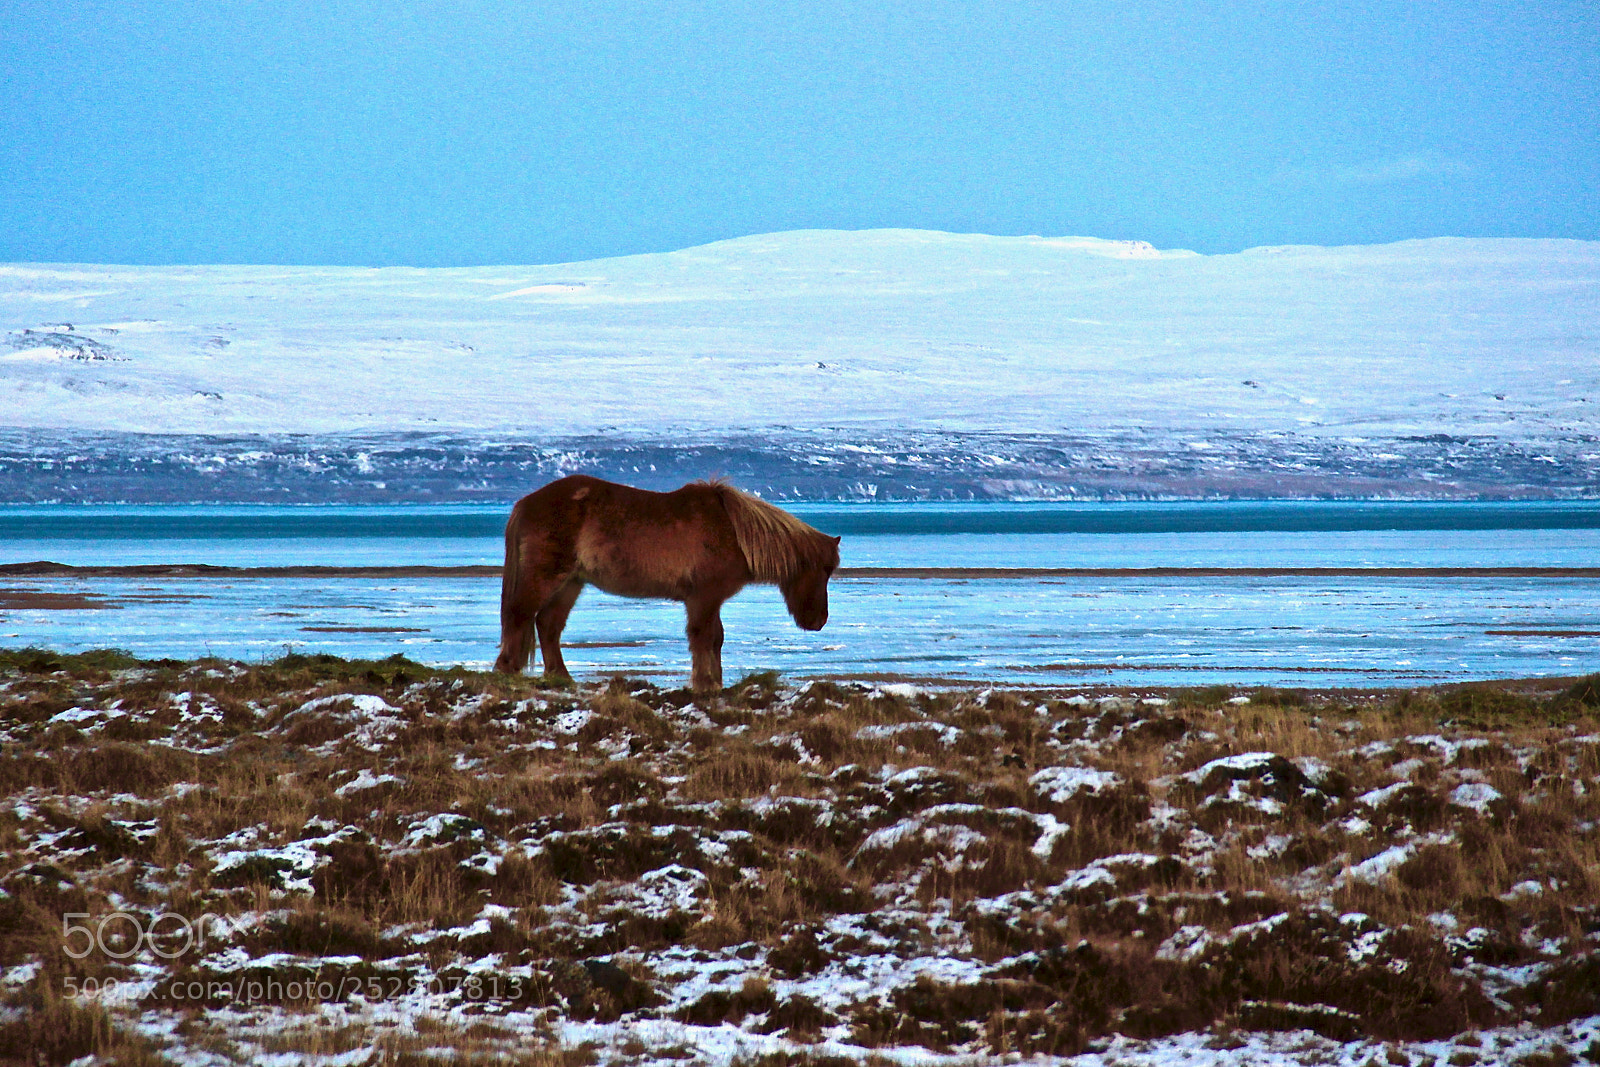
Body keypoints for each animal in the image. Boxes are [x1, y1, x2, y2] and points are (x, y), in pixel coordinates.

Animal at [493, 475, 841, 692]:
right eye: (823, 570)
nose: (819, 620)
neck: (733, 532)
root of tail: (525, 504)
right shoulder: (702, 598)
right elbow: (704, 637)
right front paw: (705, 683)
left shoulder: (709, 599)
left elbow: (716, 638)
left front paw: (714, 681)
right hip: (547, 577)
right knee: (519, 616)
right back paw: (506, 671)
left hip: (571, 583)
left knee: (547, 625)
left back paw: (561, 679)